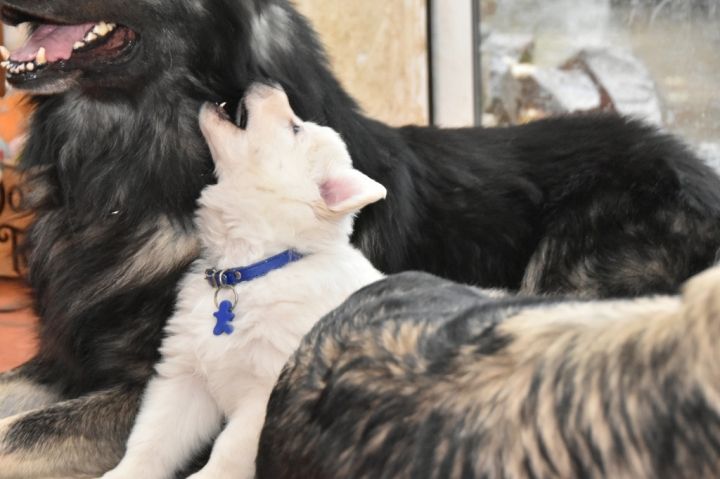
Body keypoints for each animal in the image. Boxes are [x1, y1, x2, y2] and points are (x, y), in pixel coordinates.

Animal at [100, 82, 384, 479]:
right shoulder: (185, 377)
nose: (269, 83)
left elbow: (228, 450)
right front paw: (124, 472)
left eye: (295, 128)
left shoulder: (264, 396)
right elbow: (152, 438)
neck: (250, 268)